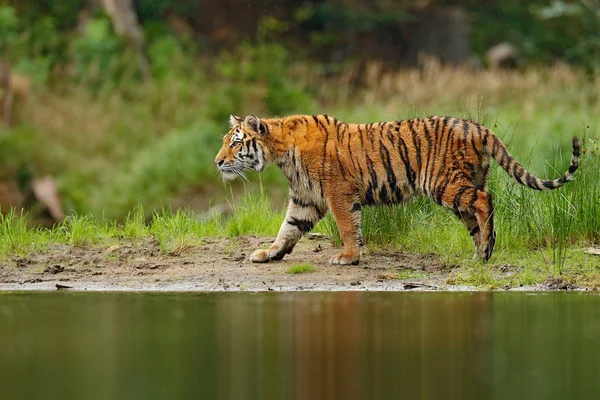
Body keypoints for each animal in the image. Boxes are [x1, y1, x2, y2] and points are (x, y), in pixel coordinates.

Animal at [213, 115, 580, 266]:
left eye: (235, 143)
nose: (217, 162)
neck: (280, 152)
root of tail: (478, 127)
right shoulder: (306, 198)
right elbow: (287, 229)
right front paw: (269, 253)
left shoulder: (338, 192)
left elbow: (347, 227)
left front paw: (348, 257)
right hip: (462, 186)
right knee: (476, 216)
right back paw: (480, 254)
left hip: (444, 184)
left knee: (484, 201)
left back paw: (487, 249)